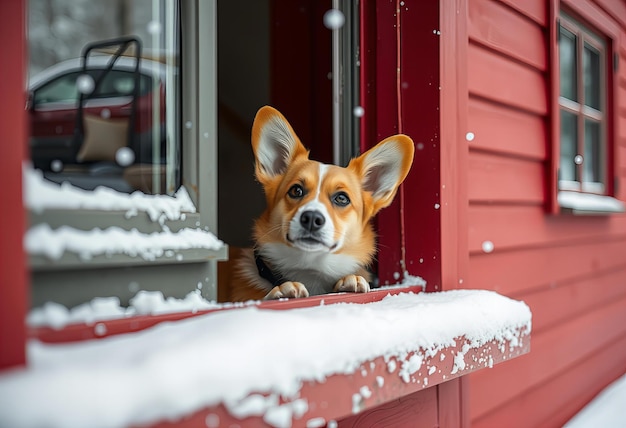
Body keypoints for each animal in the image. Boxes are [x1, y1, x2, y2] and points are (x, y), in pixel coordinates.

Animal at [227, 106, 412, 300]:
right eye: (296, 190)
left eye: (341, 198)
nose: (311, 219)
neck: (310, 270)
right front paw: (281, 291)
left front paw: (352, 280)